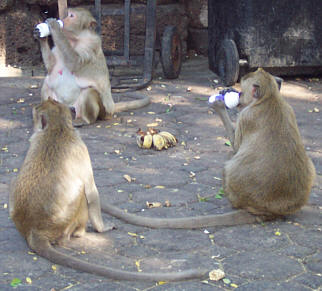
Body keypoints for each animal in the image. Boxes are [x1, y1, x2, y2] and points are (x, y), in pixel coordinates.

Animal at [10, 99, 206, 282]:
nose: (73, 109)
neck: (56, 129)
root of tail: (33, 230)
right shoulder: (81, 147)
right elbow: (91, 191)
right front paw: (102, 228)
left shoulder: (35, 140)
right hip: (66, 225)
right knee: (82, 193)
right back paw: (80, 232)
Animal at [101, 68, 316, 228]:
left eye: (241, 92)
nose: (234, 94)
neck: (269, 98)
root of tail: (267, 211)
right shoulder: (287, 108)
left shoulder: (247, 116)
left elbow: (235, 146)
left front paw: (219, 105)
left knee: (229, 163)